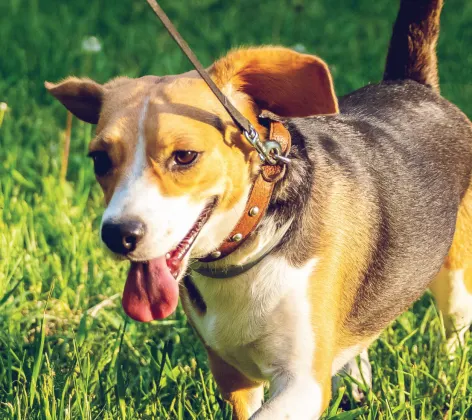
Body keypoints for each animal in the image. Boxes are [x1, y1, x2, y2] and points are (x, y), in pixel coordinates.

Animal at [45, 0, 472, 418]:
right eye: (100, 160)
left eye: (185, 156)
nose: (118, 234)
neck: (248, 246)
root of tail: (412, 84)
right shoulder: (233, 376)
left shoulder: (302, 384)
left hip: (456, 277)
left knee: (454, 325)